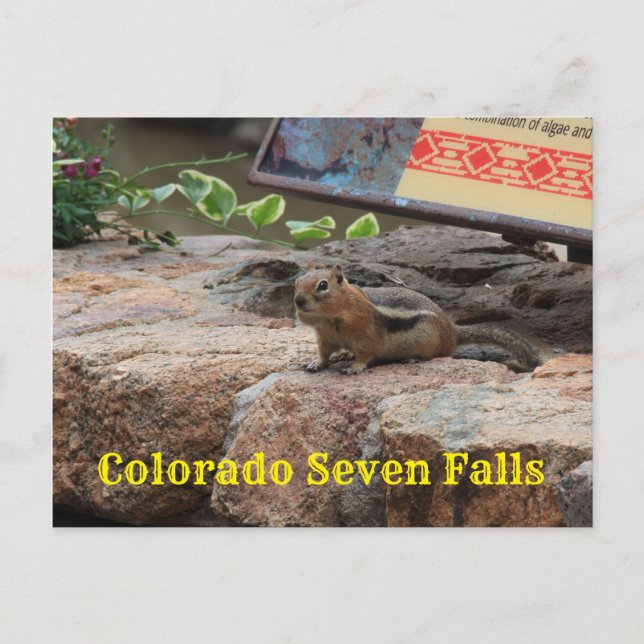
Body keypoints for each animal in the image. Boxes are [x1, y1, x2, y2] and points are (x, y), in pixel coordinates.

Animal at [294, 265, 541, 375]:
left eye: (323, 285)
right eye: (296, 282)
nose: (298, 300)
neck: (330, 317)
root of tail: (452, 330)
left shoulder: (365, 336)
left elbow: (365, 354)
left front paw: (354, 367)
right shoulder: (325, 337)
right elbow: (324, 353)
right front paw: (316, 363)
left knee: (434, 356)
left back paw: (412, 359)